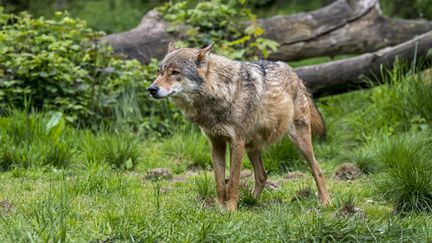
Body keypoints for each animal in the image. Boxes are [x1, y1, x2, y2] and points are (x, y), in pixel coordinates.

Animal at [147, 41, 330, 211]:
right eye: (159, 72)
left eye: (175, 72)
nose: (151, 89)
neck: (221, 92)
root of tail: (295, 74)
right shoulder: (216, 143)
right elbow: (220, 182)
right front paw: (219, 208)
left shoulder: (236, 142)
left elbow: (233, 181)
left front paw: (230, 210)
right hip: (252, 147)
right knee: (262, 176)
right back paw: (250, 201)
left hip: (298, 140)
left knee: (317, 169)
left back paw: (325, 202)